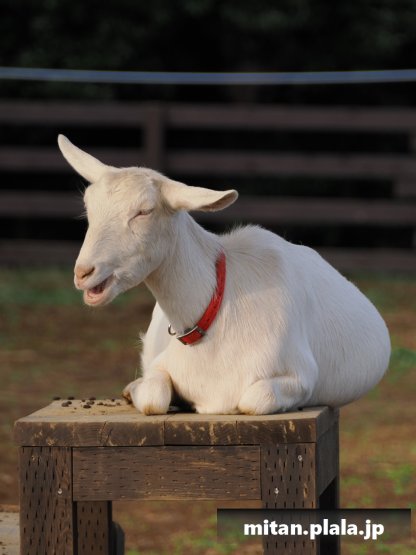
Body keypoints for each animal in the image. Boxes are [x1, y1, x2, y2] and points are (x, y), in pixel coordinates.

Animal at [58, 135, 391, 415]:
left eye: (144, 211)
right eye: (88, 207)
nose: (84, 272)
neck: (216, 310)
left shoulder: (301, 376)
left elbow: (253, 400)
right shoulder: (161, 365)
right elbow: (154, 398)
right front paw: (135, 391)